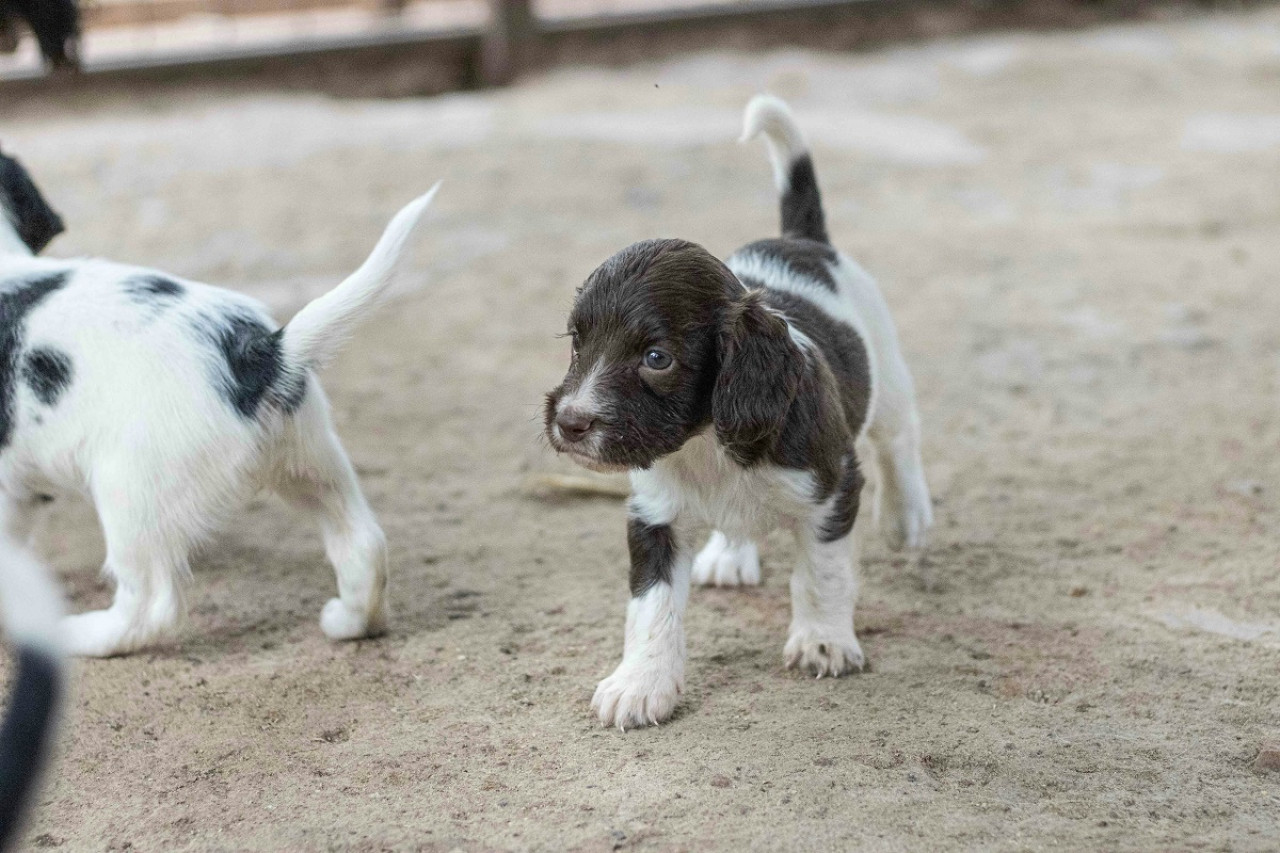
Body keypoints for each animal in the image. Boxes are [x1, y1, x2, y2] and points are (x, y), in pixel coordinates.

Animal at [0, 142, 440, 653]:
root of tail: (264, 352)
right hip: (314, 464)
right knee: (363, 546)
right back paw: (349, 622)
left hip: (129, 496)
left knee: (151, 607)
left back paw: (78, 635)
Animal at [540, 96, 931, 727]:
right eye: (578, 343)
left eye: (656, 358)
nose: (570, 423)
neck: (706, 443)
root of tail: (799, 240)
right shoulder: (653, 516)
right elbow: (650, 608)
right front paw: (642, 682)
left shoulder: (833, 486)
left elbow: (822, 574)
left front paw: (824, 640)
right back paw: (729, 552)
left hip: (887, 373)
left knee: (899, 439)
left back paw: (907, 516)